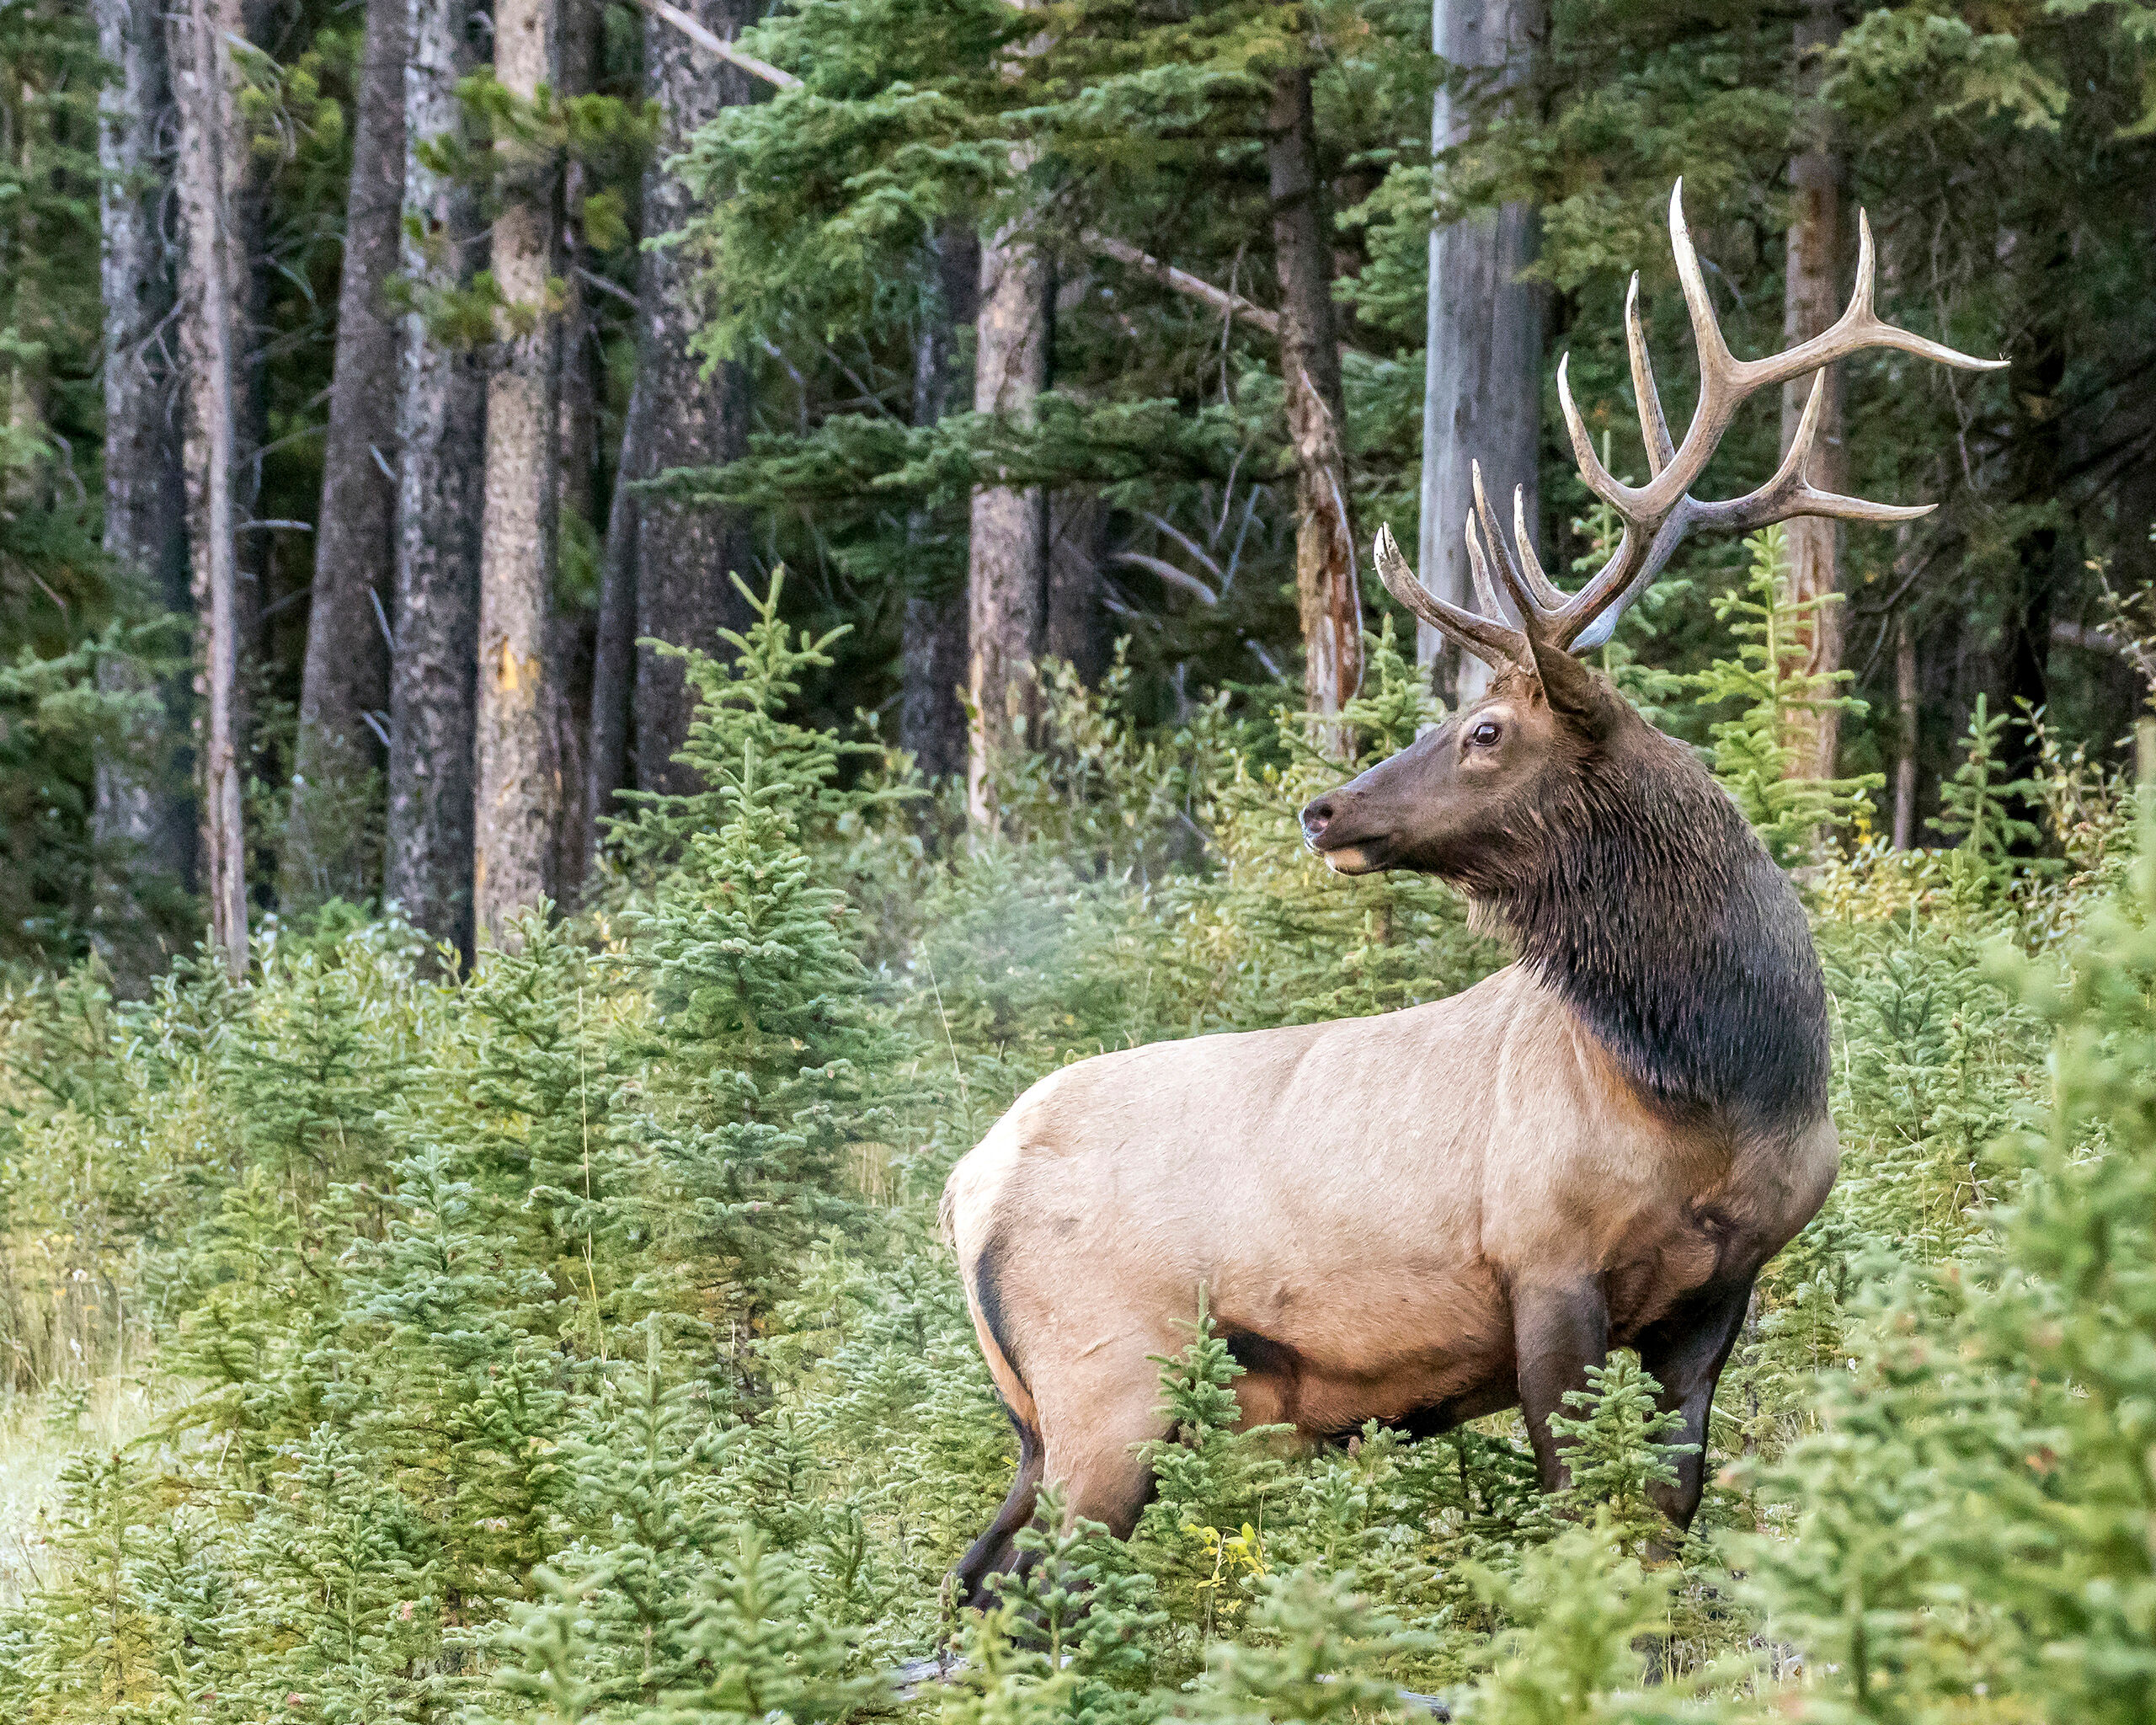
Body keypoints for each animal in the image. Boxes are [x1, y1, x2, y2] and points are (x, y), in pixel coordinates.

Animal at [941, 182, 2003, 1600]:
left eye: (1487, 730)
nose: (1324, 808)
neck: (1721, 1082)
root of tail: (960, 1189)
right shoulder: (1542, 1260)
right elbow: (1575, 1513)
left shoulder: (1723, 1288)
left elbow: (1668, 1510)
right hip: (1106, 1382)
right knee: (1034, 1594)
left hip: (1046, 1423)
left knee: (973, 1580)